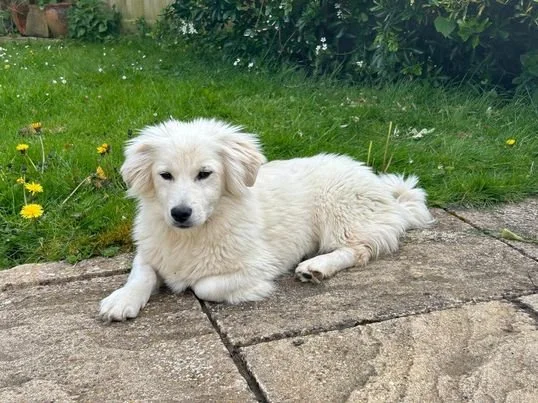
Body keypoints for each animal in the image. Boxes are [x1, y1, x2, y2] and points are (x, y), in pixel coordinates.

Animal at [99, 118, 433, 321]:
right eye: (165, 175)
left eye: (204, 174)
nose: (180, 214)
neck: (195, 232)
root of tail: (385, 193)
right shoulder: (150, 250)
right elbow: (142, 274)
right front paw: (122, 299)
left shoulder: (258, 266)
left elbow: (202, 285)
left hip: (340, 213)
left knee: (359, 250)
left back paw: (316, 266)